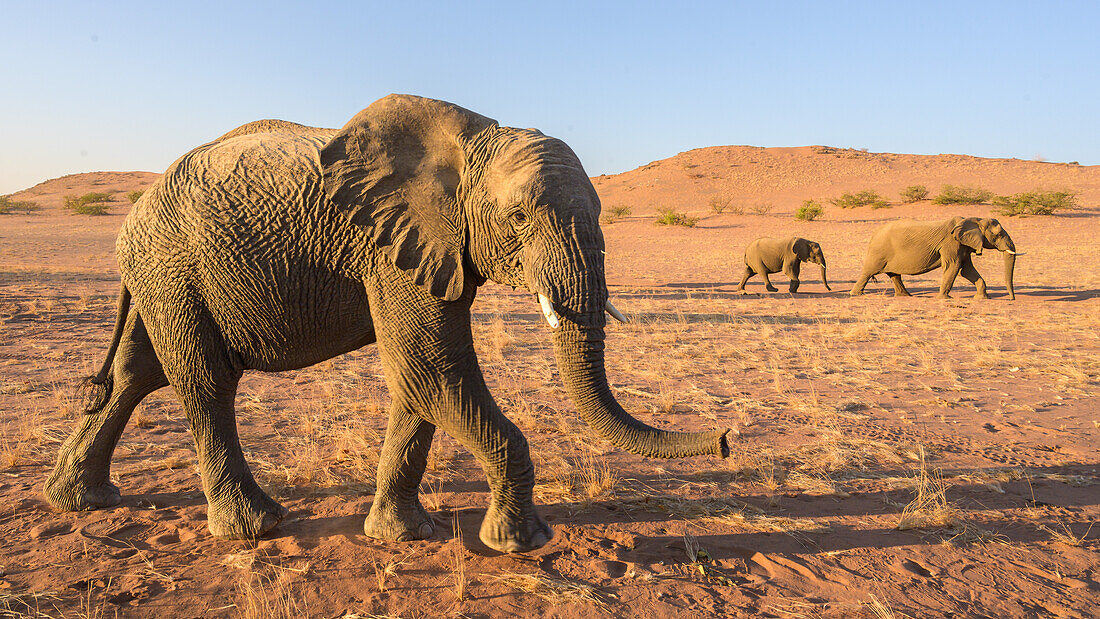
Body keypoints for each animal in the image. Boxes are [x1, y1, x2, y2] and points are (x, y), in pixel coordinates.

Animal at [45, 94, 730, 554]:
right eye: (518, 219)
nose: (725, 438)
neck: (475, 139)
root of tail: (136, 210)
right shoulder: (390, 244)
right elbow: (433, 370)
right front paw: (521, 543)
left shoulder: (434, 248)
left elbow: (418, 382)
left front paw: (401, 535)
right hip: (172, 267)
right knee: (205, 381)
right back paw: (255, 528)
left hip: (160, 274)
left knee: (138, 375)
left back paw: (79, 499)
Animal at [849, 216, 1020, 299]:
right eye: (998, 235)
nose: (1012, 299)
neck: (975, 219)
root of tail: (874, 233)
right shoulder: (951, 243)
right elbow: (954, 267)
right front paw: (945, 298)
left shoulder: (963, 245)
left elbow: (966, 270)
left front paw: (982, 298)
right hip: (878, 252)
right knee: (868, 272)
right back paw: (855, 294)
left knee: (894, 275)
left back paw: (905, 295)